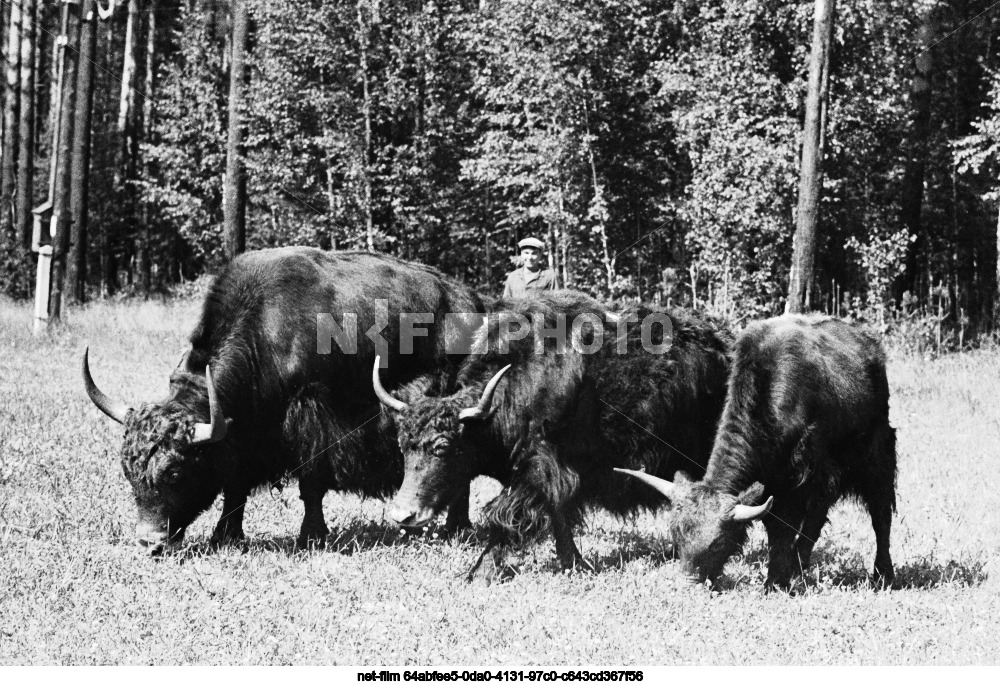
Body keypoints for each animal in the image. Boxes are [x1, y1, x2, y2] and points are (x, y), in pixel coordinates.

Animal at [84, 246, 482, 552]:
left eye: (175, 471)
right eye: (128, 471)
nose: (149, 542)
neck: (265, 336)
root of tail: (473, 302)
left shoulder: (312, 417)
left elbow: (311, 483)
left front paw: (312, 536)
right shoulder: (244, 437)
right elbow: (235, 486)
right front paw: (225, 536)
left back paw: (456, 527)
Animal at [372, 292, 732, 580]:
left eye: (443, 447)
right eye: (404, 446)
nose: (403, 514)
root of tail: (723, 344)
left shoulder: (540, 468)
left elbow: (506, 516)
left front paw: (479, 573)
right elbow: (559, 517)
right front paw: (574, 564)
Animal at [616, 316, 900, 588]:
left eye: (717, 543)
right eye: (677, 534)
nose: (688, 584)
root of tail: (869, 345)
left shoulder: (801, 479)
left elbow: (786, 527)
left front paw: (777, 579)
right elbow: (775, 528)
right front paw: (779, 576)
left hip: (877, 458)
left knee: (879, 515)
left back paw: (882, 574)